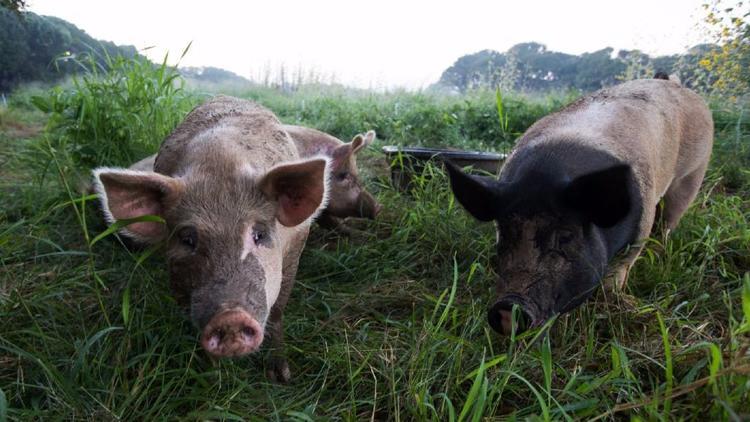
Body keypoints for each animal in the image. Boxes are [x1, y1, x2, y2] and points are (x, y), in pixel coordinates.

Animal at [92, 96, 332, 382]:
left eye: (259, 234)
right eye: (187, 239)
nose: (230, 317)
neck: (221, 163)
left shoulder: (296, 246)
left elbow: (277, 311)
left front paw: (281, 376)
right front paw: (212, 373)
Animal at [446, 76, 716, 336]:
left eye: (565, 237)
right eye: (503, 234)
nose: (507, 308)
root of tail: (677, 85)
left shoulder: (637, 236)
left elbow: (616, 275)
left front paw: (611, 304)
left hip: (692, 175)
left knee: (669, 221)